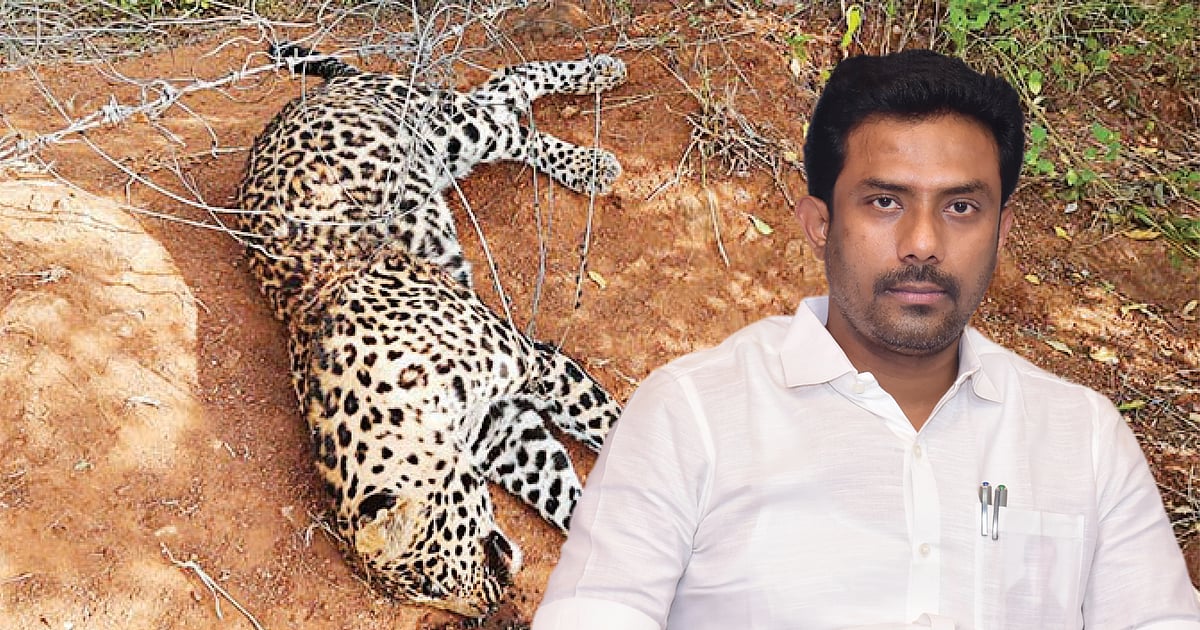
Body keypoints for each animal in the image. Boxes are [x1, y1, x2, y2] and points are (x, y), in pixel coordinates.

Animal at [231, 43, 625, 617]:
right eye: (427, 593)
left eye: (430, 579)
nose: (485, 611)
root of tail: (313, 93)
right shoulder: (501, 429)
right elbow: (563, 493)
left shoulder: (533, 364)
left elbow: (610, 425)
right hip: (447, 151)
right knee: (507, 105)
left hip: (448, 127)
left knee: (510, 95)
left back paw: (596, 116)